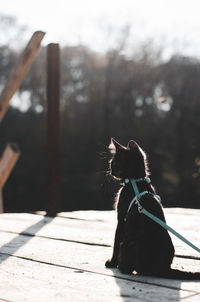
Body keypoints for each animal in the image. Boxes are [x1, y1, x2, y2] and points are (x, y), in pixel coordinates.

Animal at [105, 138, 199, 280]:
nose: (110, 171)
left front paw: (112, 262)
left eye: (113, 163)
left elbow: (115, 242)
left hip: (129, 242)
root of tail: (162, 268)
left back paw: (121, 267)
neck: (136, 180)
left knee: (128, 266)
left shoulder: (121, 220)